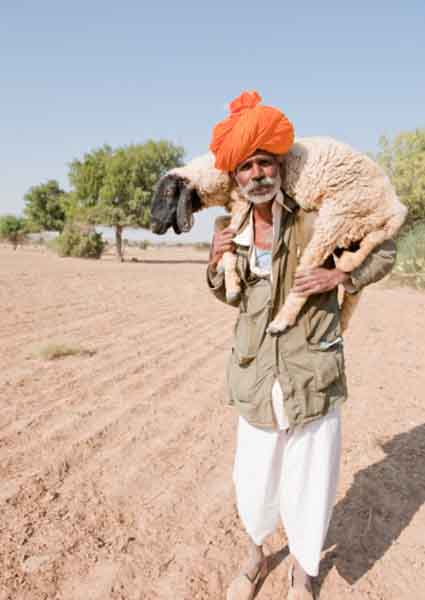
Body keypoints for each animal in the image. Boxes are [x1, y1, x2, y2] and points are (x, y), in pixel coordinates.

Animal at [151, 136, 406, 332]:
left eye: (168, 193)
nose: (153, 225)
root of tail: (395, 210)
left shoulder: (242, 202)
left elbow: (229, 231)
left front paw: (232, 286)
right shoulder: (237, 205)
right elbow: (220, 226)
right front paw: (226, 272)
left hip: (337, 217)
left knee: (310, 272)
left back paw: (280, 323)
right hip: (354, 230)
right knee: (355, 282)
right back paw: (342, 323)